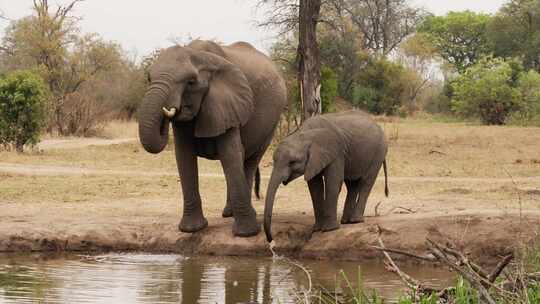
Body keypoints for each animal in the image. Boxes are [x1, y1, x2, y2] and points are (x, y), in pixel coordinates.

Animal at [138, 39, 286, 236]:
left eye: (191, 82)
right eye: (148, 78)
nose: (166, 113)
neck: (200, 56)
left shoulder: (228, 102)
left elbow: (230, 154)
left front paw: (246, 233)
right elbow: (184, 156)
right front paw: (192, 229)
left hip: (272, 122)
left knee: (250, 160)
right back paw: (229, 213)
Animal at [262, 111, 386, 242]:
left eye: (292, 162)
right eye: (274, 161)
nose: (271, 239)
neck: (305, 135)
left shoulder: (336, 152)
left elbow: (333, 182)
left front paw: (329, 229)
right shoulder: (313, 160)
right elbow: (315, 188)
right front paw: (317, 229)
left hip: (379, 151)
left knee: (366, 183)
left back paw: (355, 220)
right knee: (352, 185)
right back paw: (346, 222)